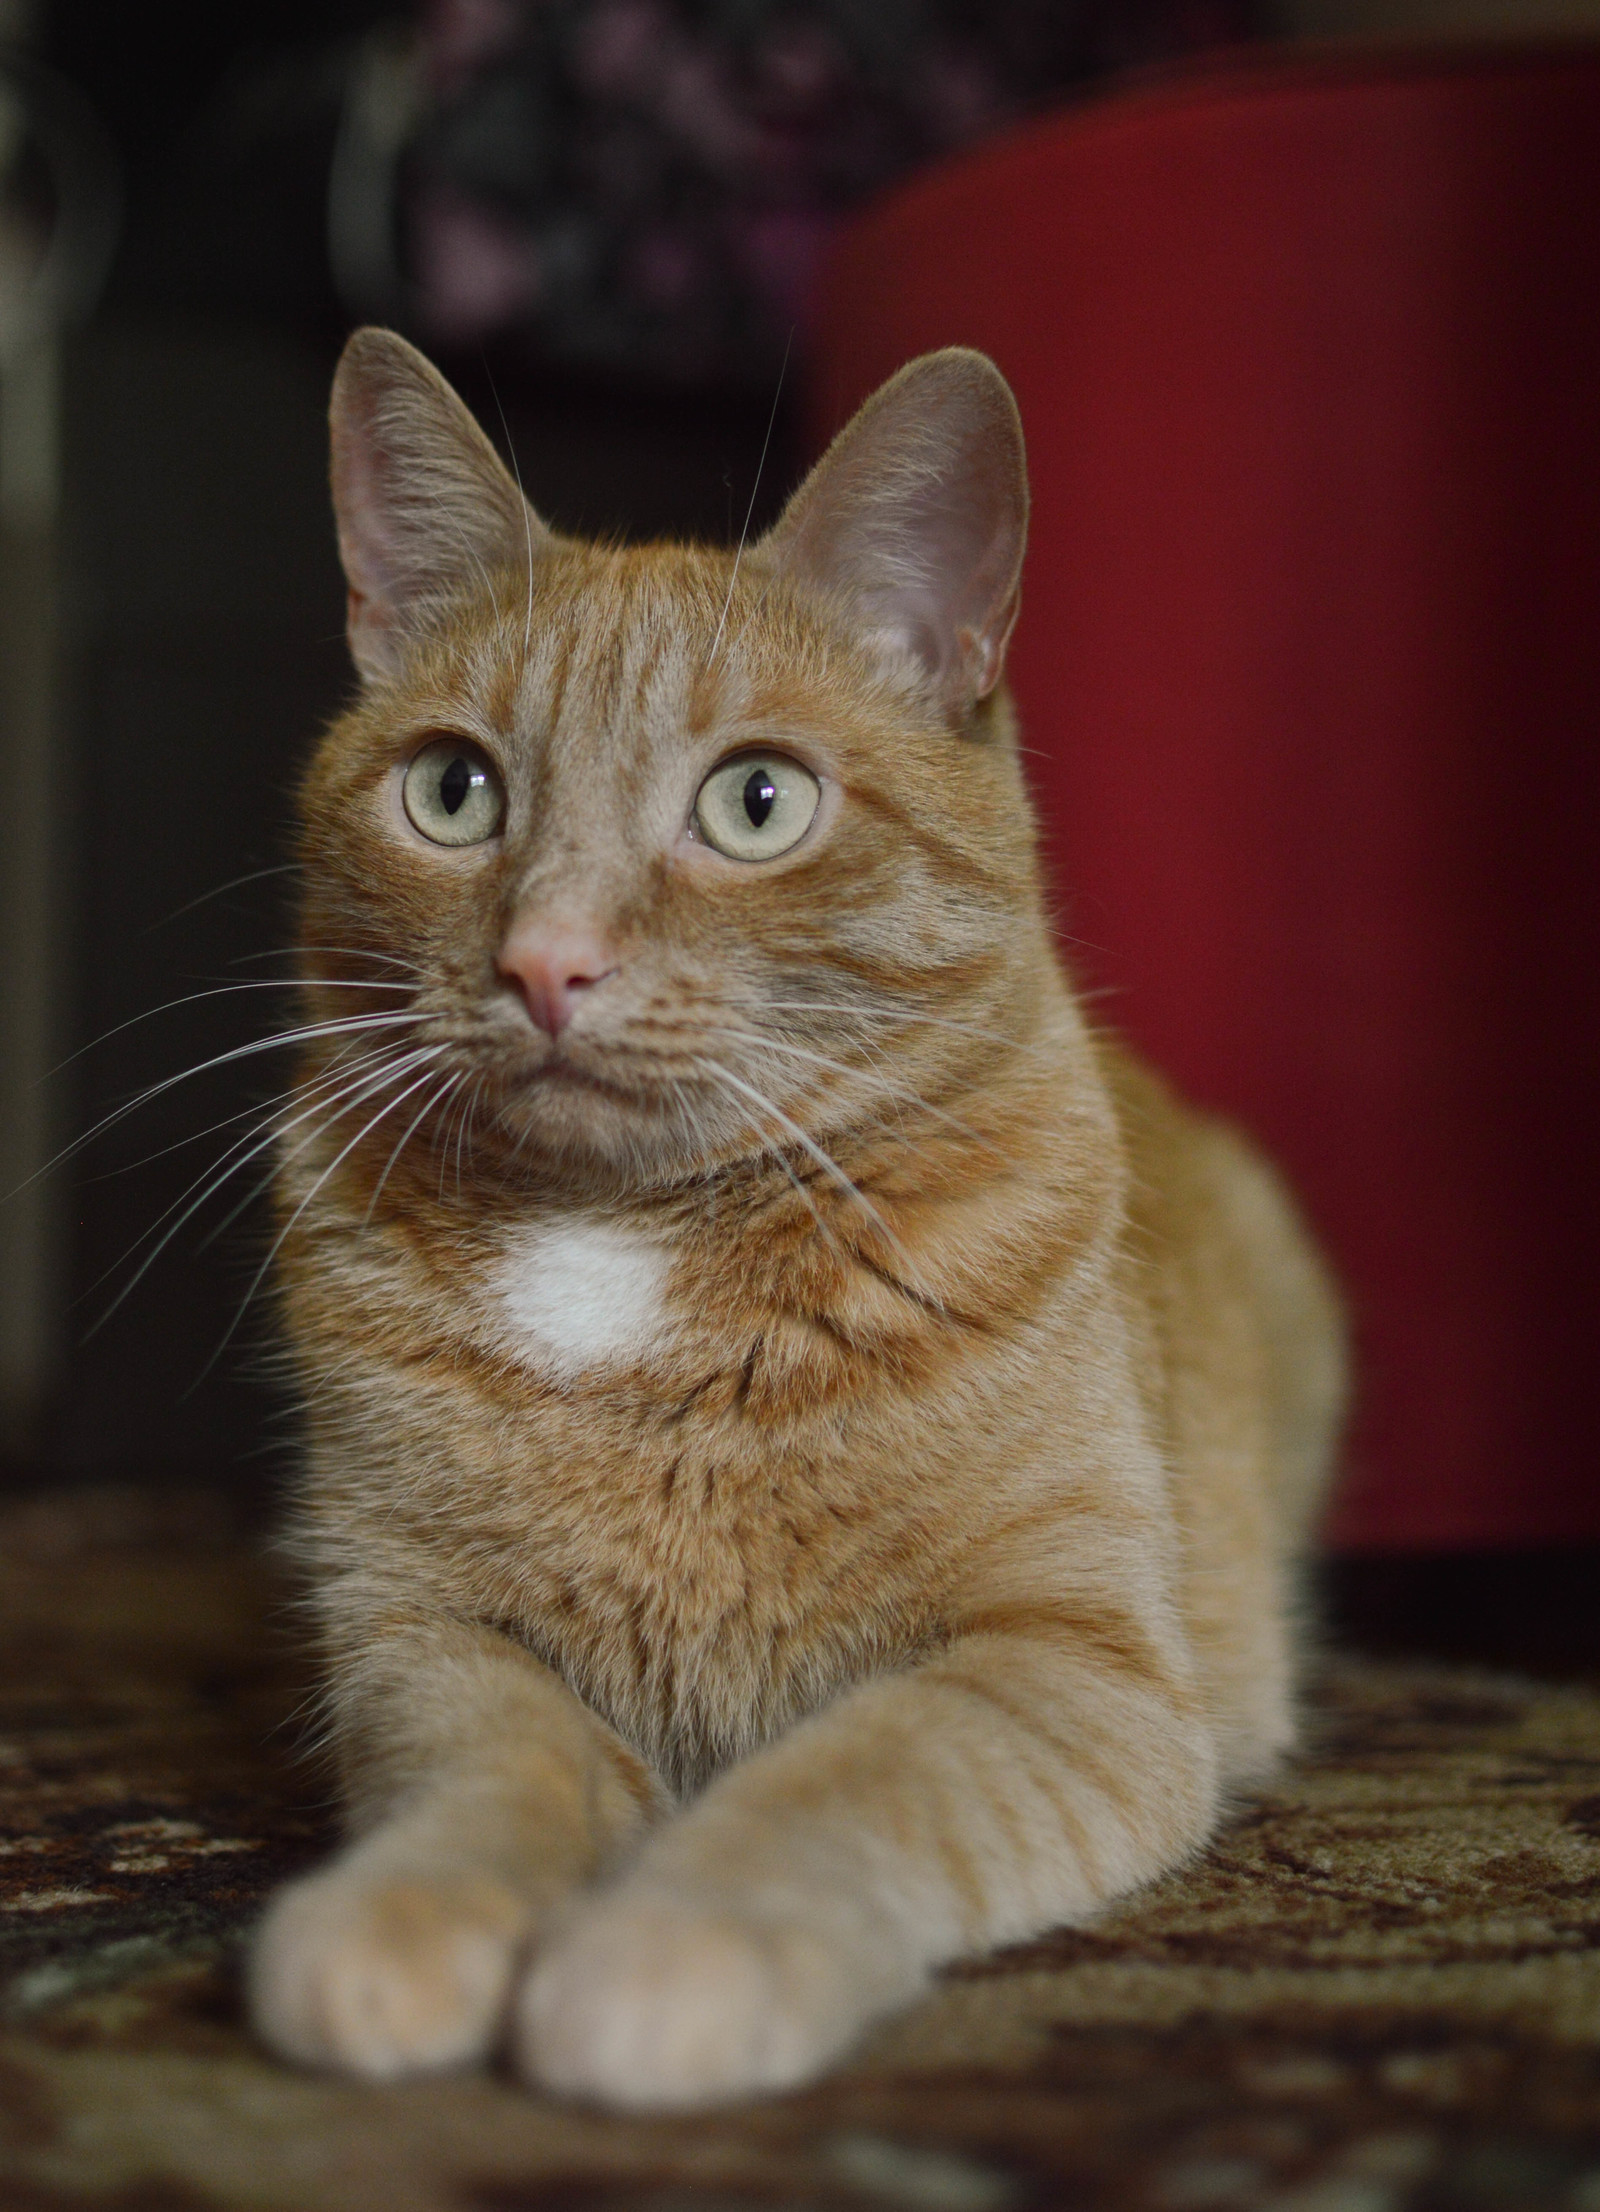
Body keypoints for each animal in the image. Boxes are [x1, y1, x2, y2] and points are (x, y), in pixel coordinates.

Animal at [250, 327, 1345, 2105]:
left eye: (756, 803)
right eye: (454, 791)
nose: (545, 962)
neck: (626, 1250)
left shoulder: (1062, 1665)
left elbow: (840, 1785)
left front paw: (666, 1953)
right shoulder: (419, 1636)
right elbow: (494, 1777)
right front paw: (396, 1918)